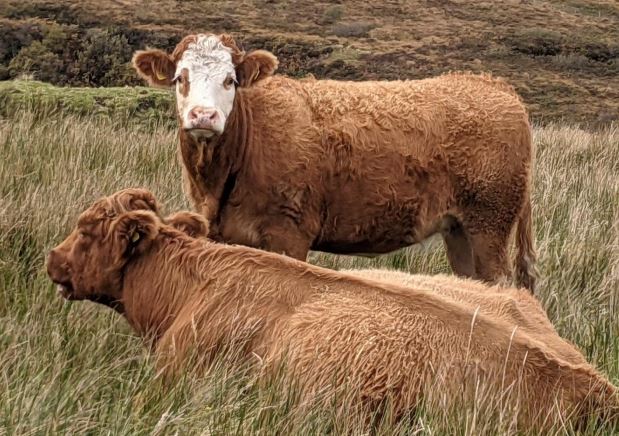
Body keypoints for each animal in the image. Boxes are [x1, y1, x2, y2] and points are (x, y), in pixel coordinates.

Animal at [132, 34, 536, 292]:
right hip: (459, 229)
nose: (204, 115)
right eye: (180, 78)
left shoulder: (289, 233)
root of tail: (495, 85)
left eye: (230, 80)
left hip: (490, 223)